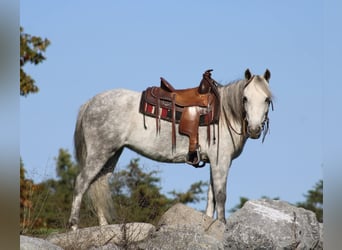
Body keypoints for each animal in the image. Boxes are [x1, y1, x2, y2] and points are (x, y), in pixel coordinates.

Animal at [69, 68, 272, 229]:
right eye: (245, 98)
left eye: (267, 100)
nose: (254, 129)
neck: (224, 114)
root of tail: (90, 103)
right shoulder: (220, 161)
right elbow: (221, 196)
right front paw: (222, 224)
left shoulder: (214, 163)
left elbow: (211, 196)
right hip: (99, 153)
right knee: (81, 183)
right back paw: (73, 226)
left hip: (111, 154)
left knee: (98, 183)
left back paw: (103, 227)